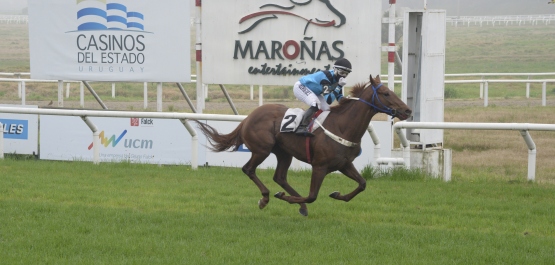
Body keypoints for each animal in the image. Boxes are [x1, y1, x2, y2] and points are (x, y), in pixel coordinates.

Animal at [195, 74, 412, 214]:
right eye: (386, 93)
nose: (407, 111)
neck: (342, 126)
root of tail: (248, 117)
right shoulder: (320, 166)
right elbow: (312, 195)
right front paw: (284, 198)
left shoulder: (344, 164)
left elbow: (362, 184)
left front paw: (336, 194)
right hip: (262, 149)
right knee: (248, 169)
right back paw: (265, 198)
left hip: (284, 153)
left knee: (280, 177)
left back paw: (299, 206)